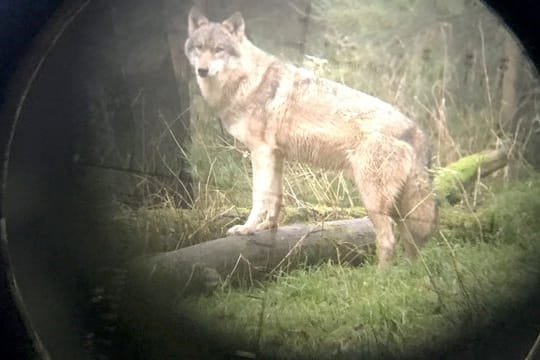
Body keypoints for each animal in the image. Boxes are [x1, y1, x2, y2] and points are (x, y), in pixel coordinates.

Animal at [186, 7, 438, 264]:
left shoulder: (261, 153)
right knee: (412, 245)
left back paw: (381, 274)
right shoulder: (276, 155)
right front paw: (269, 226)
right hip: (399, 208)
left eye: (219, 49)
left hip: (373, 200)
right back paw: (410, 272)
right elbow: (276, 197)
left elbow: (259, 197)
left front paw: (246, 229)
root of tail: (415, 130)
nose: (202, 70)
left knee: (388, 241)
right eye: (199, 47)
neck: (246, 81)